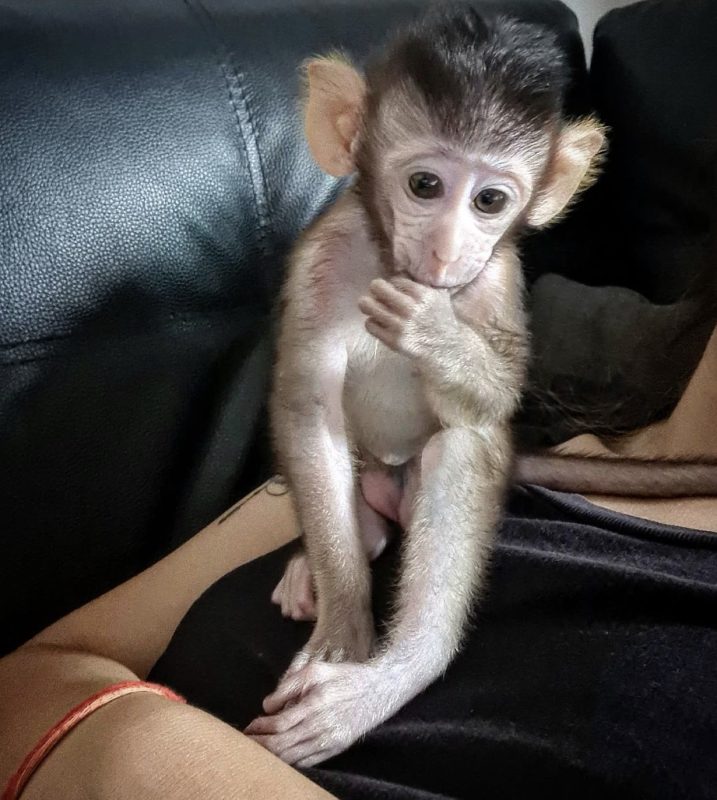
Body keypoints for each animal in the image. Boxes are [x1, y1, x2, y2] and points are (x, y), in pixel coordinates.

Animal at [243, 7, 707, 768]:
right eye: (425, 186)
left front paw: (434, 335)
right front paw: (343, 627)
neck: (392, 266)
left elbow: (491, 404)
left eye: (490, 200)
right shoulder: (325, 257)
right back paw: (325, 559)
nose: (445, 250)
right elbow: (307, 405)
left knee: (460, 445)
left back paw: (402, 670)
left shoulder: (495, 274)